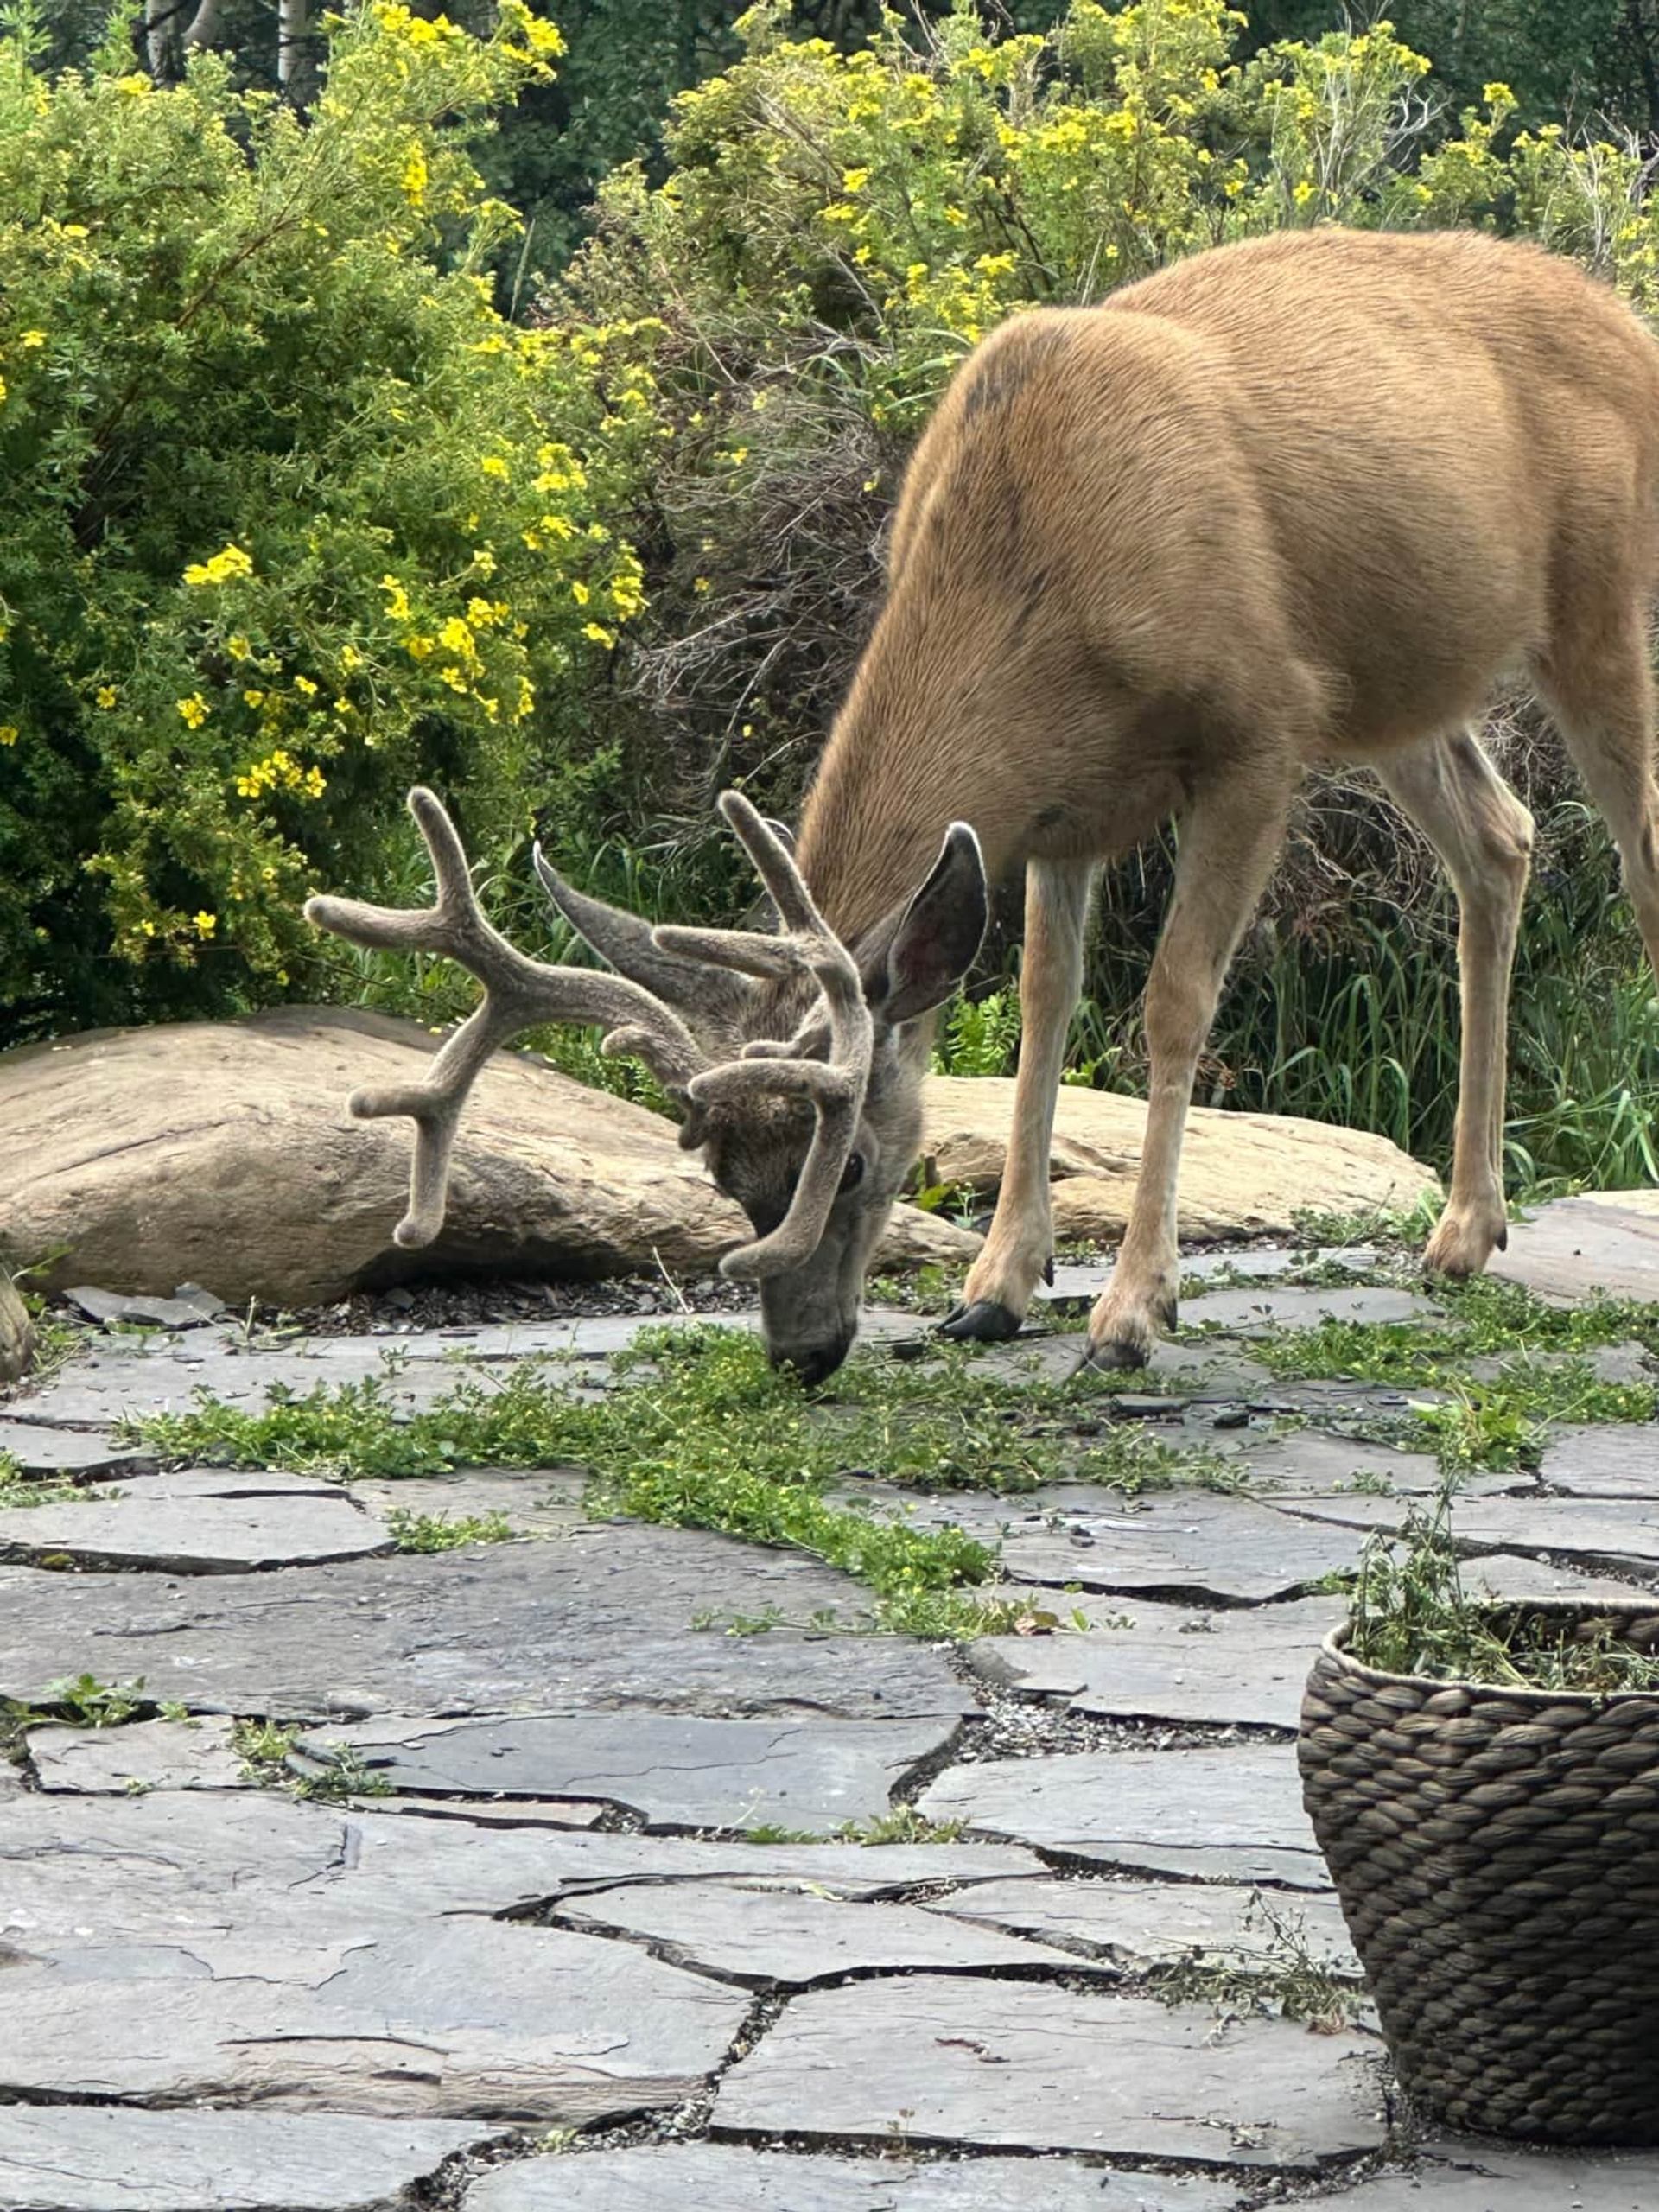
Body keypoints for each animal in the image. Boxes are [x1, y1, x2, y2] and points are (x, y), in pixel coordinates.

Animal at [308, 224, 1659, 1383]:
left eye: (853, 1164)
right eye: (726, 1177)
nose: (800, 1352)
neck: (1046, 568)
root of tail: (1623, 319)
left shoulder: (1259, 730)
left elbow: (1171, 1003)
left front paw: (1133, 1309)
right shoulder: (1068, 805)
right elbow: (1040, 1005)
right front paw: (997, 1289)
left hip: (1600, 606)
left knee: (1637, 858)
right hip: (1405, 688)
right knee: (1502, 842)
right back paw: (1463, 1232)